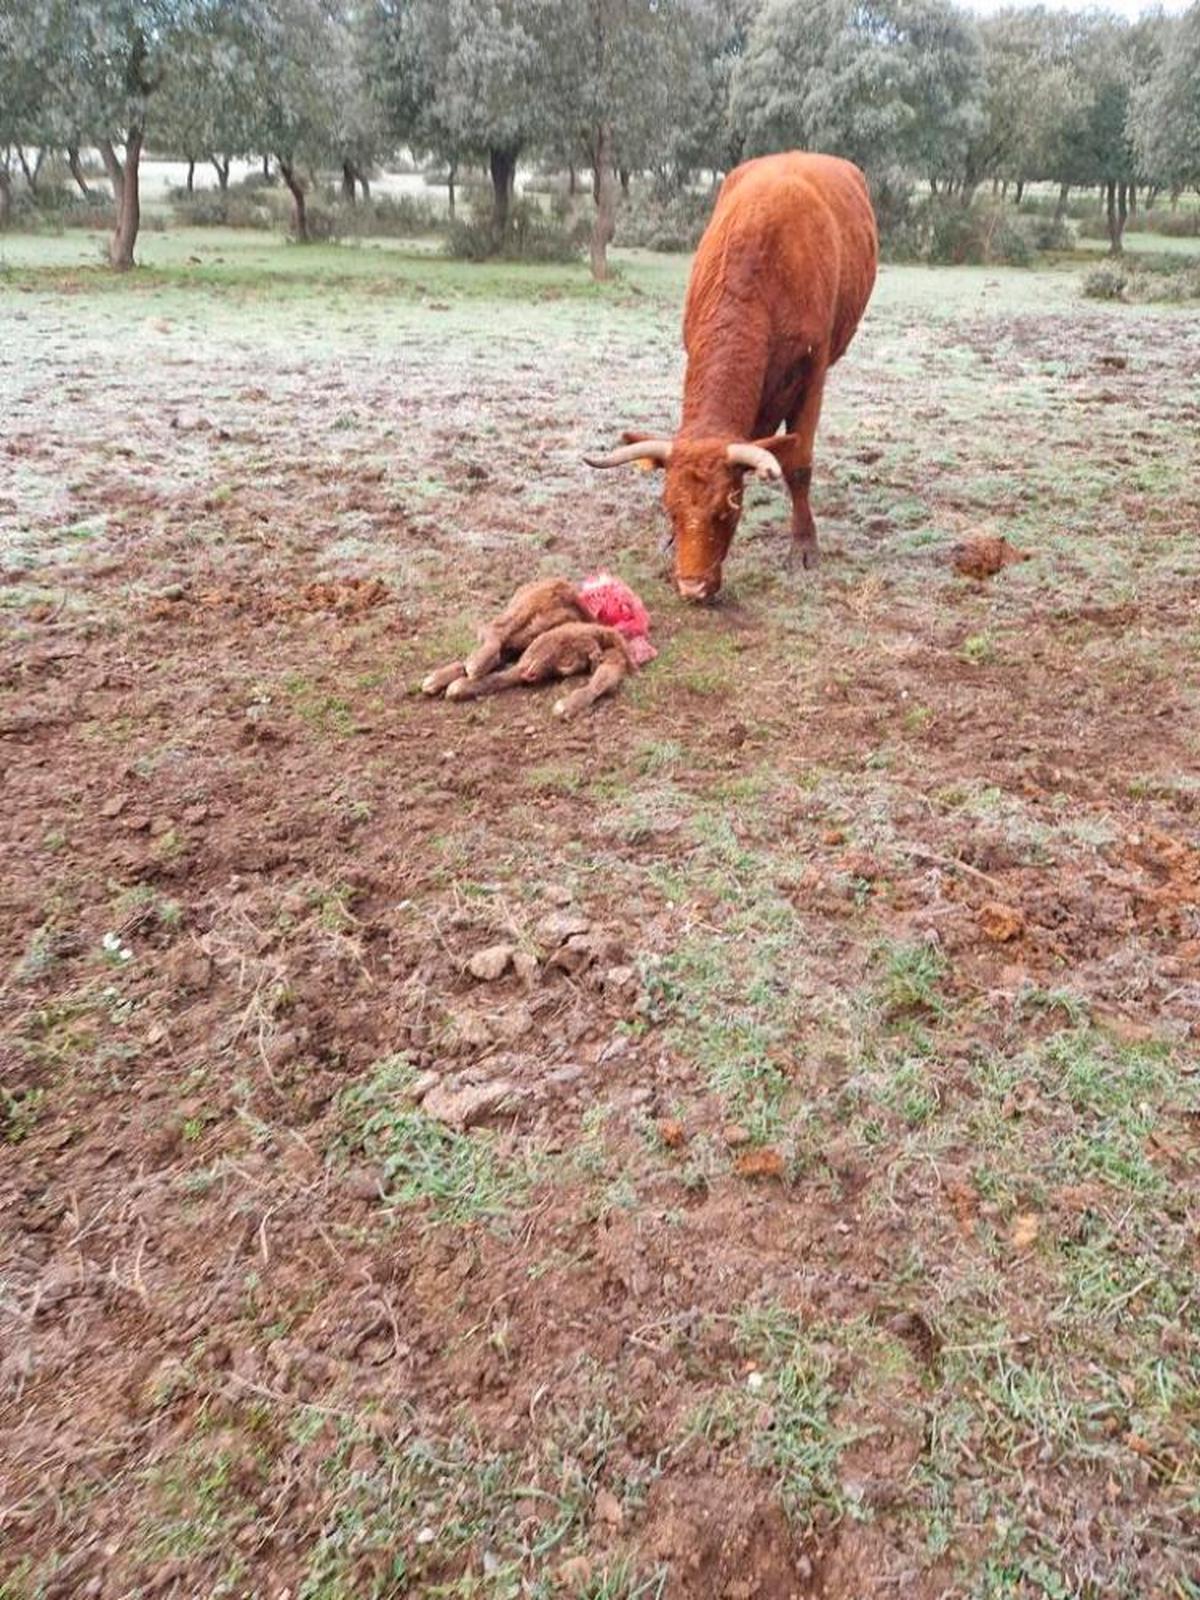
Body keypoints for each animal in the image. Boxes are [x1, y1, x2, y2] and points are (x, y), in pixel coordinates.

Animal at [419, 572, 652, 716]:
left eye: (568, 668)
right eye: (557, 643)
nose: (531, 674)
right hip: (526, 607)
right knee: (495, 632)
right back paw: (471, 665)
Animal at [588, 151, 876, 601]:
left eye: (727, 509)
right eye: (669, 509)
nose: (691, 587)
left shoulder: (812, 375)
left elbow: (798, 466)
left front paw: (804, 545)